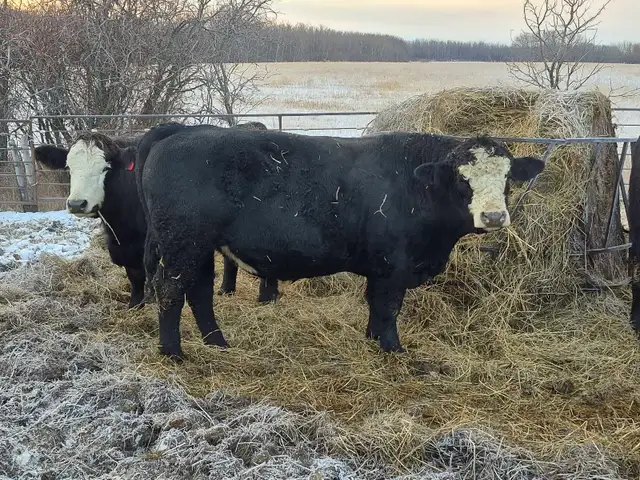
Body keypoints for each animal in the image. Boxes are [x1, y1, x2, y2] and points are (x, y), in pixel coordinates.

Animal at [33, 123, 279, 310]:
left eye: (106, 168)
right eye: (68, 168)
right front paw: (135, 305)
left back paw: (267, 298)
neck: (122, 223)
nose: (77, 203)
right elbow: (134, 275)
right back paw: (226, 290)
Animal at [135, 122, 545, 360]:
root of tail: (178, 132)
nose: (494, 217)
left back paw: (217, 343)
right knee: (170, 292)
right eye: (463, 179)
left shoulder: (381, 268)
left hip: (200, 246)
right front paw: (393, 350)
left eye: (507, 178)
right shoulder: (393, 266)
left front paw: (372, 340)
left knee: (199, 293)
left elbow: (375, 307)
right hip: (182, 243)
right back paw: (173, 353)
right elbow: (388, 308)